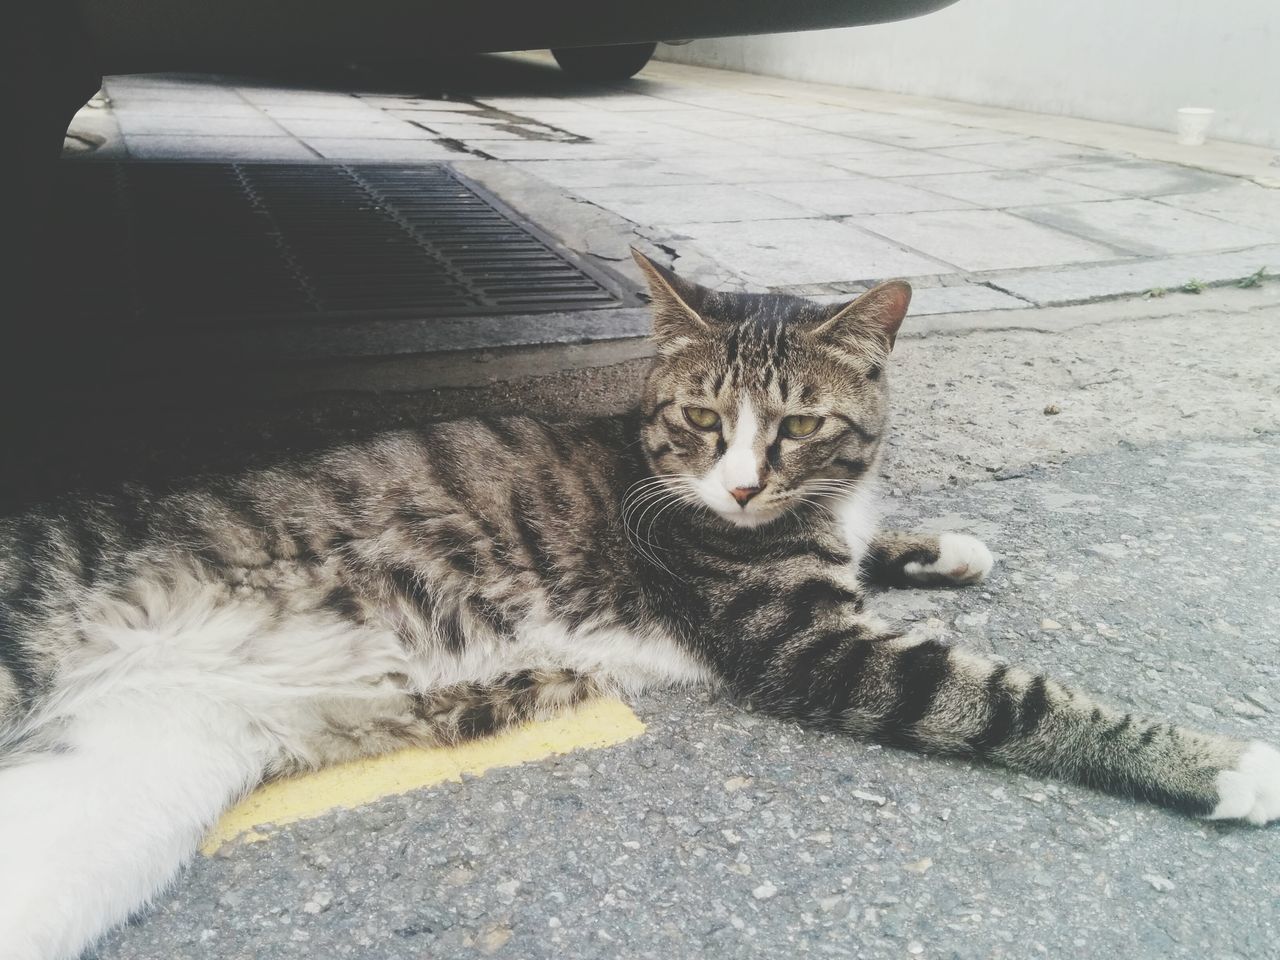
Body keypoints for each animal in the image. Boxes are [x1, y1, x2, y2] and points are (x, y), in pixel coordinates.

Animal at [0, 249, 1274, 960]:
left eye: (796, 425)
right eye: (705, 420)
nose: (744, 484)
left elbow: (871, 540)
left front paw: (939, 542)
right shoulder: (807, 644)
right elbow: (1011, 697)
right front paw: (1222, 764)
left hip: (119, 789)